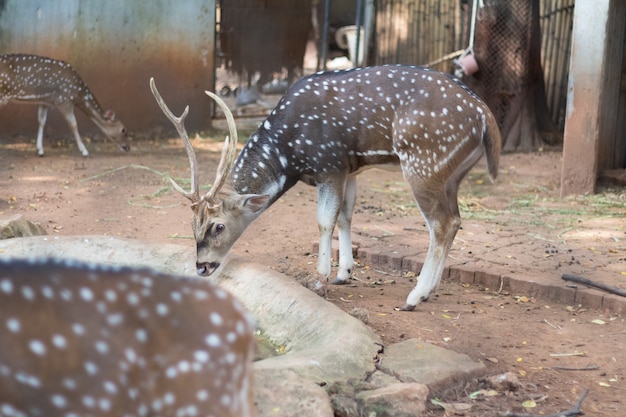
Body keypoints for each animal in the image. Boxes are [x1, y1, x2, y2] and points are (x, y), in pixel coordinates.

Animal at [0, 52, 129, 156]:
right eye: (123, 129)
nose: (128, 147)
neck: (79, 94)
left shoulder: (45, 101)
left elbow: (41, 121)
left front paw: (40, 150)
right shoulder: (64, 101)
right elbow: (73, 124)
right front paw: (84, 151)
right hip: (2, 95)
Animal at [149, 65, 500, 310]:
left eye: (218, 226)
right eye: (191, 224)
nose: (201, 266)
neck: (289, 154)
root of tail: (485, 115)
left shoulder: (329, 164)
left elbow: (323, 220)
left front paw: (320, 278)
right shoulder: (350, 169)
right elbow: (345, 215)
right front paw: (344, 273)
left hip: (423, 162)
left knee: (441, 223)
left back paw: (415, 296)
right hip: (451, 175)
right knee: (455, 219)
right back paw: (429, 291)